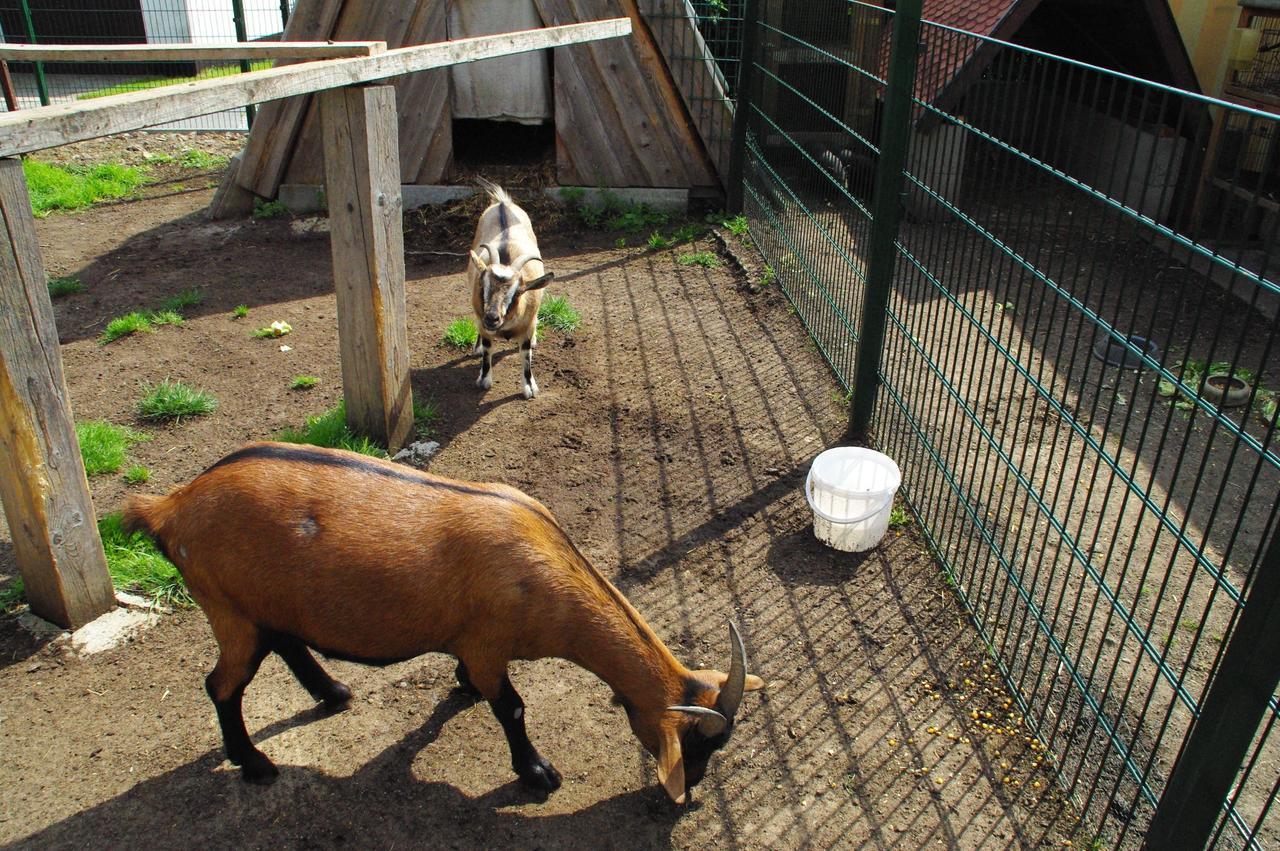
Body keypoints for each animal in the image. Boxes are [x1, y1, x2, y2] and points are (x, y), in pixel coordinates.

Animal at [122, 440, 757, 798]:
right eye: (697, 746)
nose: (696, 787)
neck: (543, 564)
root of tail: (168, 507)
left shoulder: (472, 642)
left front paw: (461, 690)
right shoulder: (489, 644)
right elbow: (513, 708)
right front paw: (537, 774)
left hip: (259, 606)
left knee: (285, 643)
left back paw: (333, 693)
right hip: (227, 607)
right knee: (222, 684)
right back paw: (254, 764)